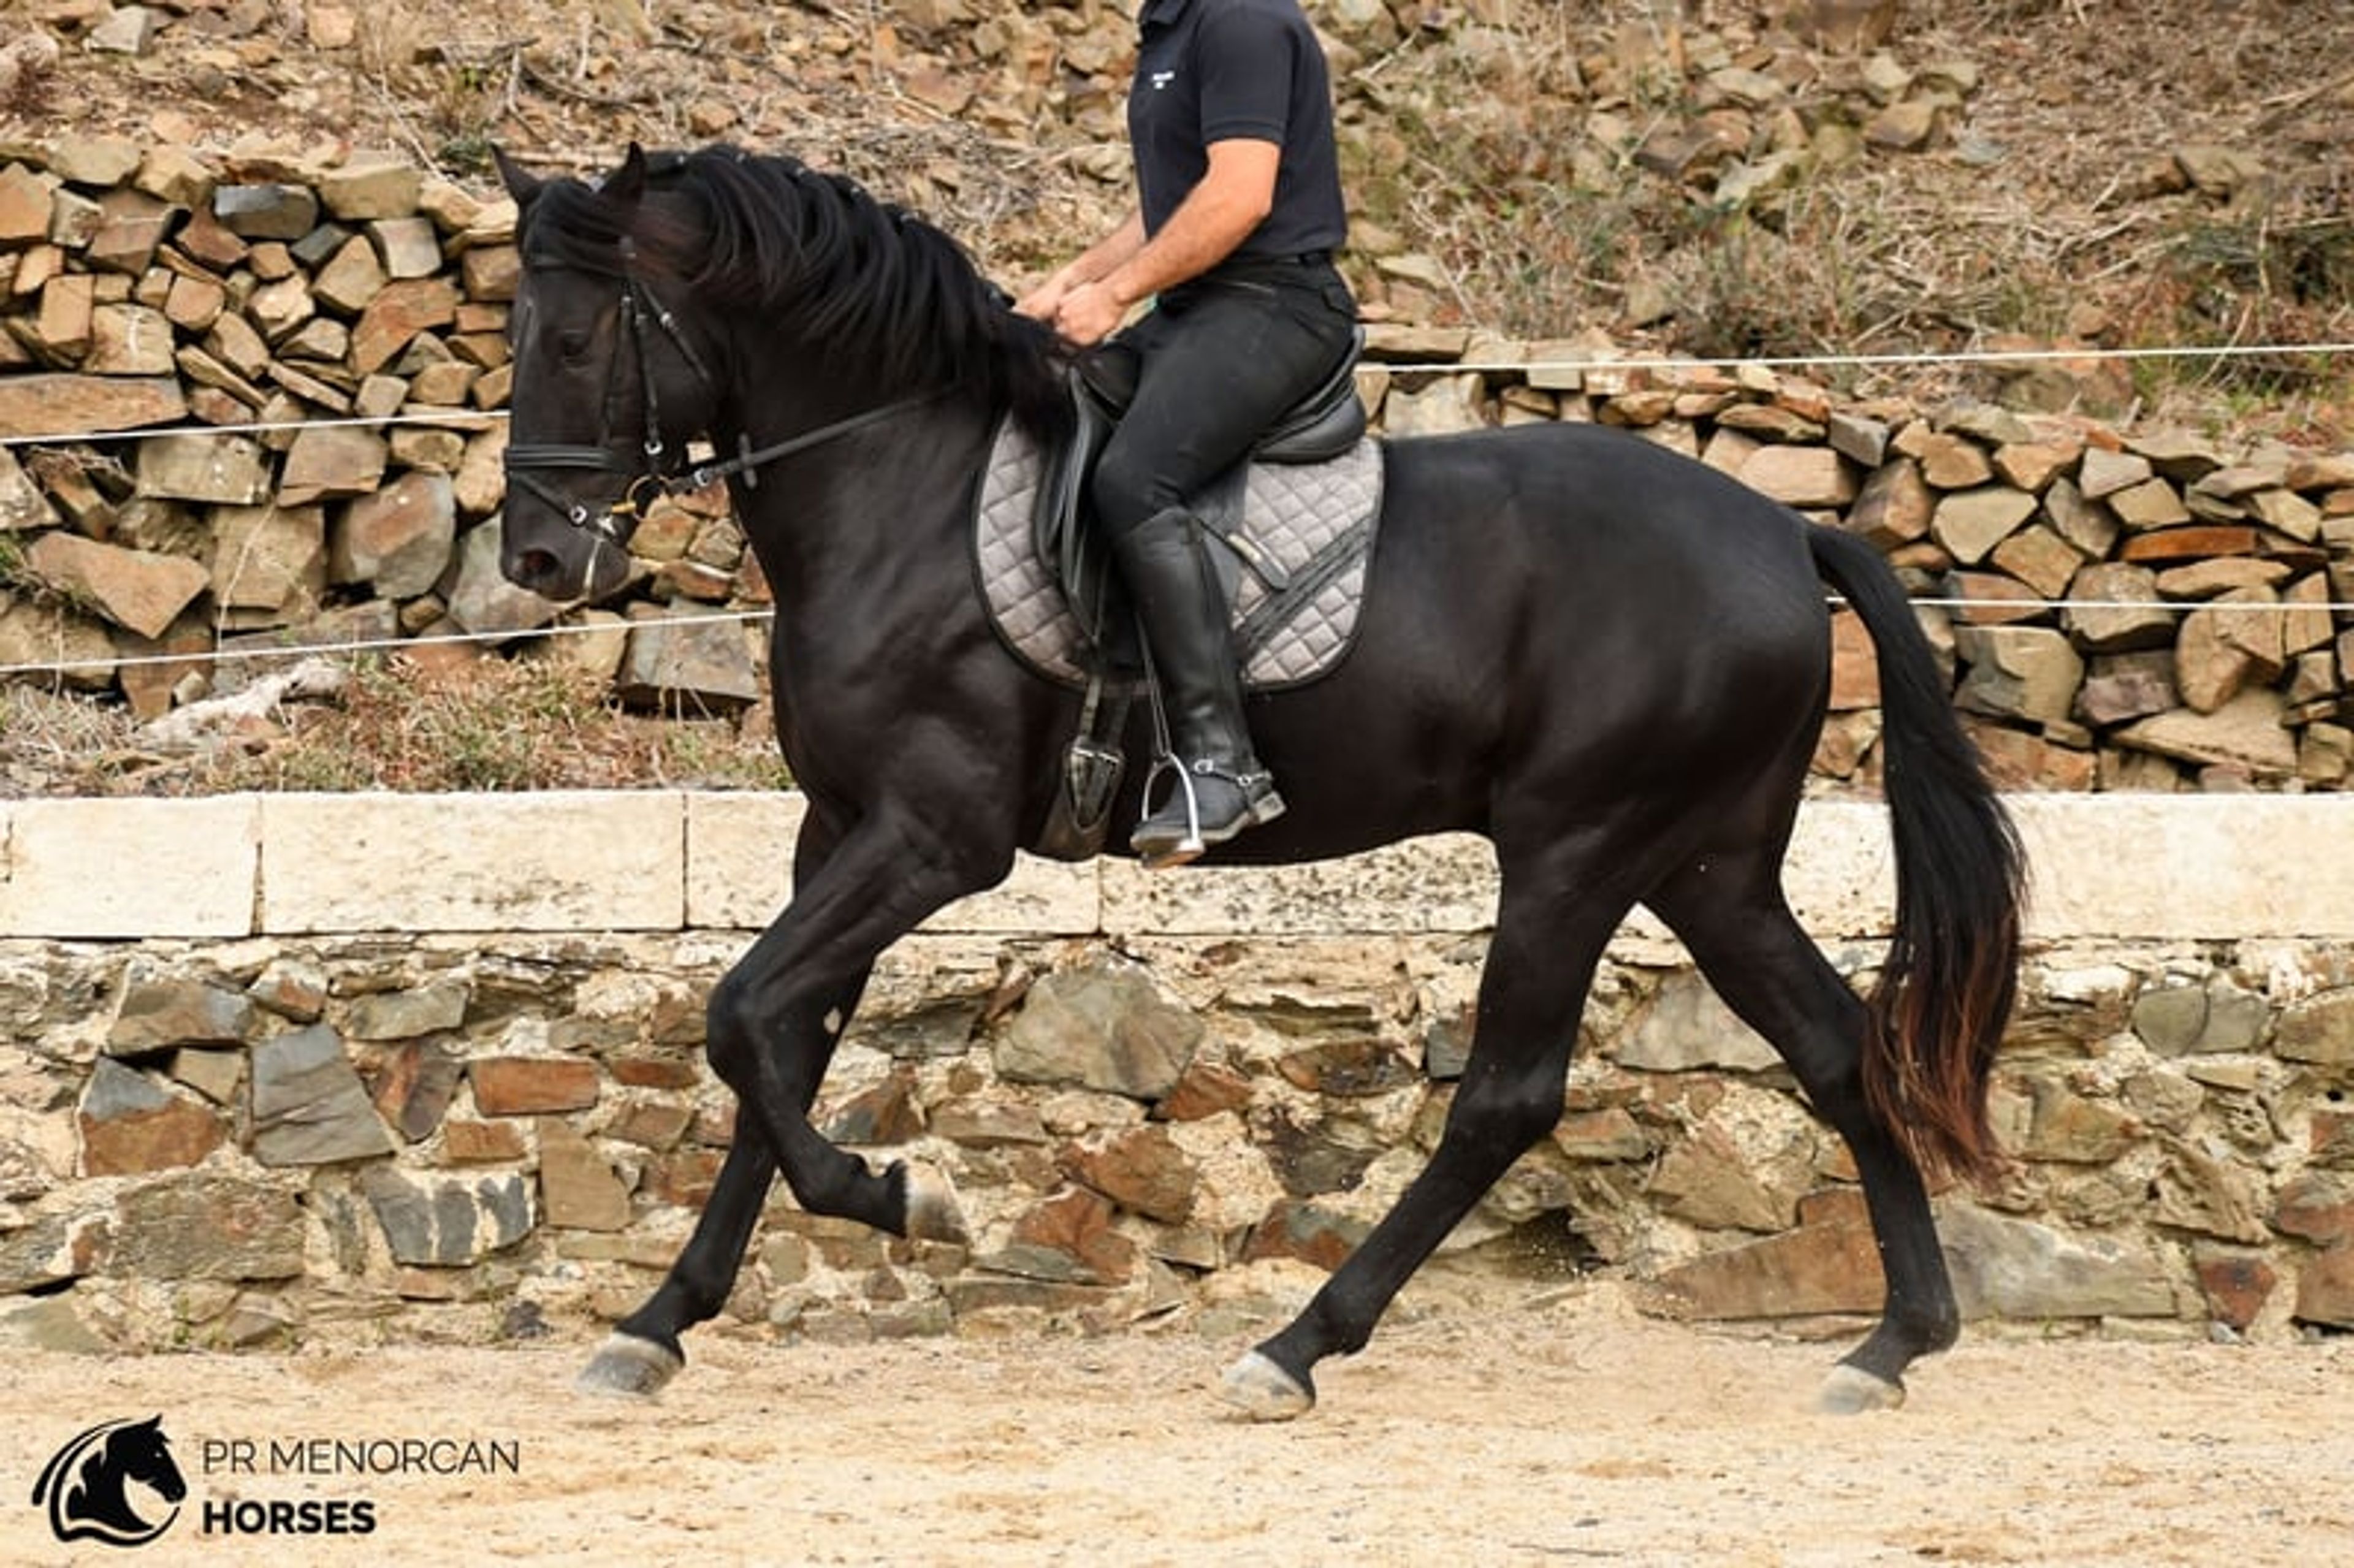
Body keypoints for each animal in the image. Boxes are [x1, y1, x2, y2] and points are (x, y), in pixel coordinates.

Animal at [492, 143, 2025, 1420]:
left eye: (570, 337)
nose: (536, 561)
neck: (900, 484)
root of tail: (1783, 530)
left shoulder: (934, 838)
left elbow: (743, 1014)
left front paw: (895, 1196)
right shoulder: (840, 829)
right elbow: (777, 1041)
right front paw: (660, 1321)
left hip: (1579, 850)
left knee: (1509, 1096)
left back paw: (1294, 1347)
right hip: (1708, 866)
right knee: (1836, 1048)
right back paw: (1897, 1340)